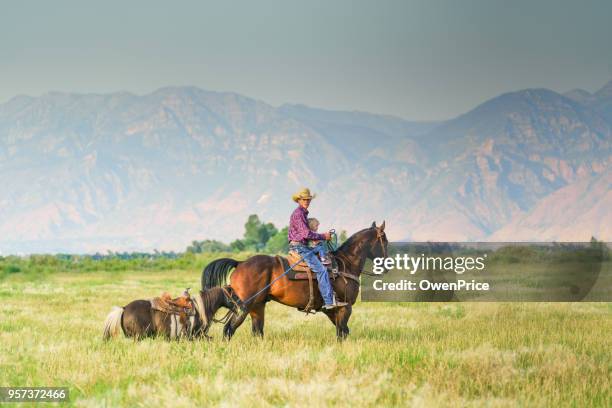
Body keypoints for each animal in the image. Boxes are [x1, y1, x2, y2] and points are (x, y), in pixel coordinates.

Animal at [201, 222, 388, 340]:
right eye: (385, 241)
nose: (386, 265)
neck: (345, 265)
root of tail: (240, 263)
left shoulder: (331, 311)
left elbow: (343, 331)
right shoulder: (344, 307)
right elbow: (342, 333)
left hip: (257, 307)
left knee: (257, 331)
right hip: (244, 307)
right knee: (229, 329)